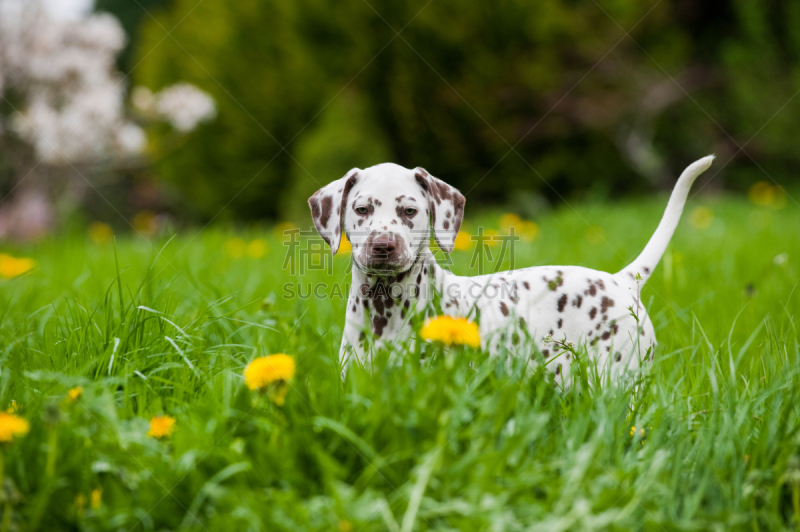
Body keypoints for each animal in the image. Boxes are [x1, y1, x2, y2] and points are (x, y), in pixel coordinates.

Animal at [310, 156, 716, 384]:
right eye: (362, 209)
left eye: (409, 210)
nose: (383, 245)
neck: (387, 312)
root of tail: (621, 281)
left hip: (618, 378)